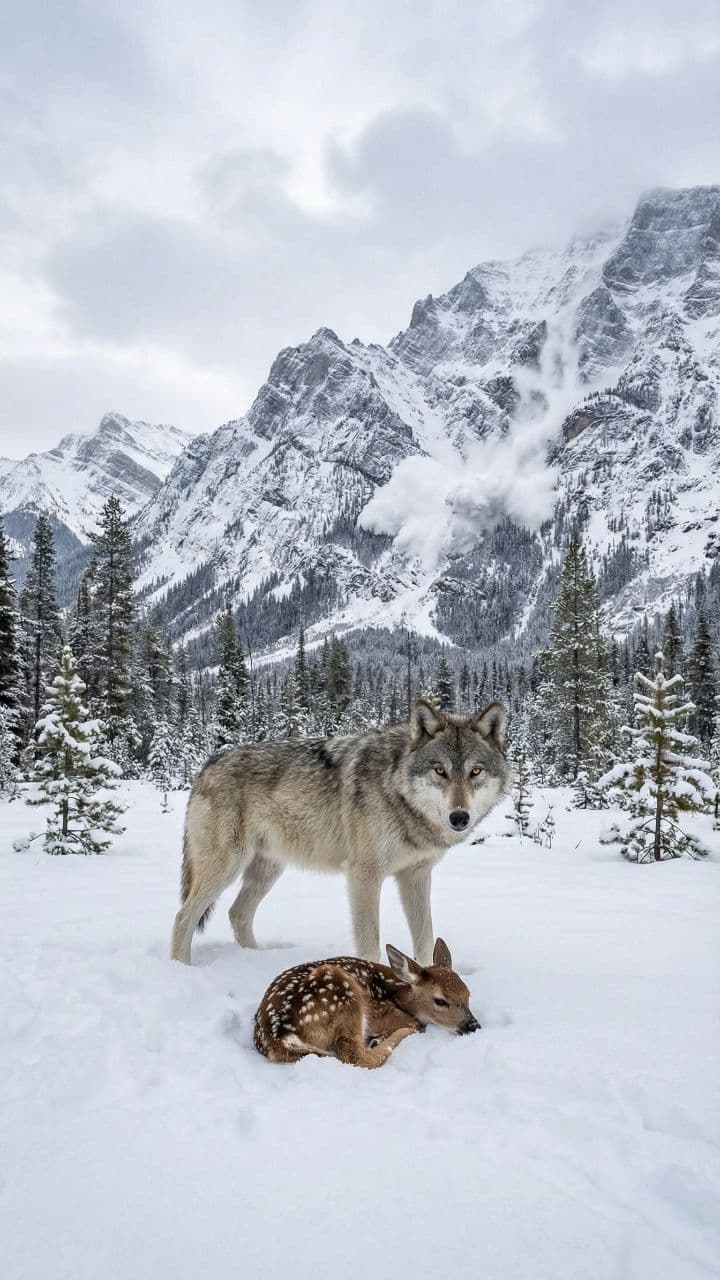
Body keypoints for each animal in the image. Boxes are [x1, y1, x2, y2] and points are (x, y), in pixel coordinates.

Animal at [170, 698, 511, 966]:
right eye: (440, 771)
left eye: (475, 772)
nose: (459, 817)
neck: (396, 790)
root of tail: (208, 764)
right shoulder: (364, 875)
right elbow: (371, 946)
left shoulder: (416, 875)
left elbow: (425, 942)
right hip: (225, 868)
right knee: (183, 917)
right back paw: (182, 969)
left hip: (267, 870)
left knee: (237, 914)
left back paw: (258, 959)